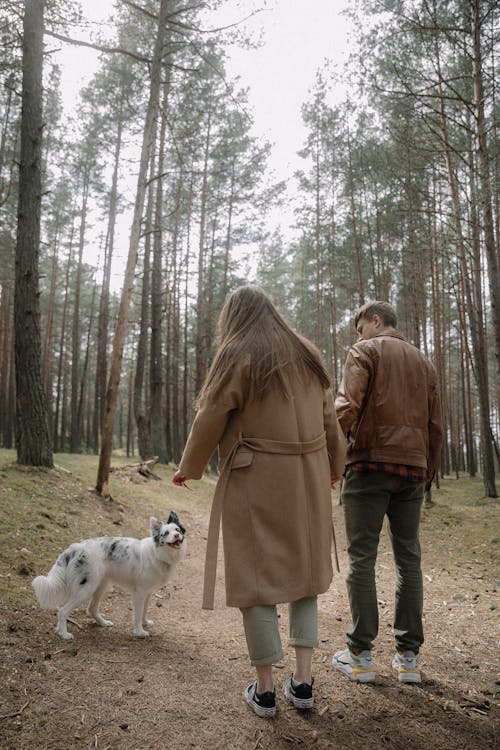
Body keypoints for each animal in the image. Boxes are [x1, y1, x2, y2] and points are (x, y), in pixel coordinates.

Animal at [31, 512, 188, 640]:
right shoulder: (139, 593)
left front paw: (145, 623)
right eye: (165, 533)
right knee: (63, 611)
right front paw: (139, 631)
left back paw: (102, 623)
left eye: (178, 530)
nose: (177, 536)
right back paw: (64, 634)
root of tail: (75, 547)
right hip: (86, 588)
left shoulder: (148, 593)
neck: (158, 554)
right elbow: (137, 614)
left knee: (91, 608)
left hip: (101, 585)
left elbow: (144, 611)